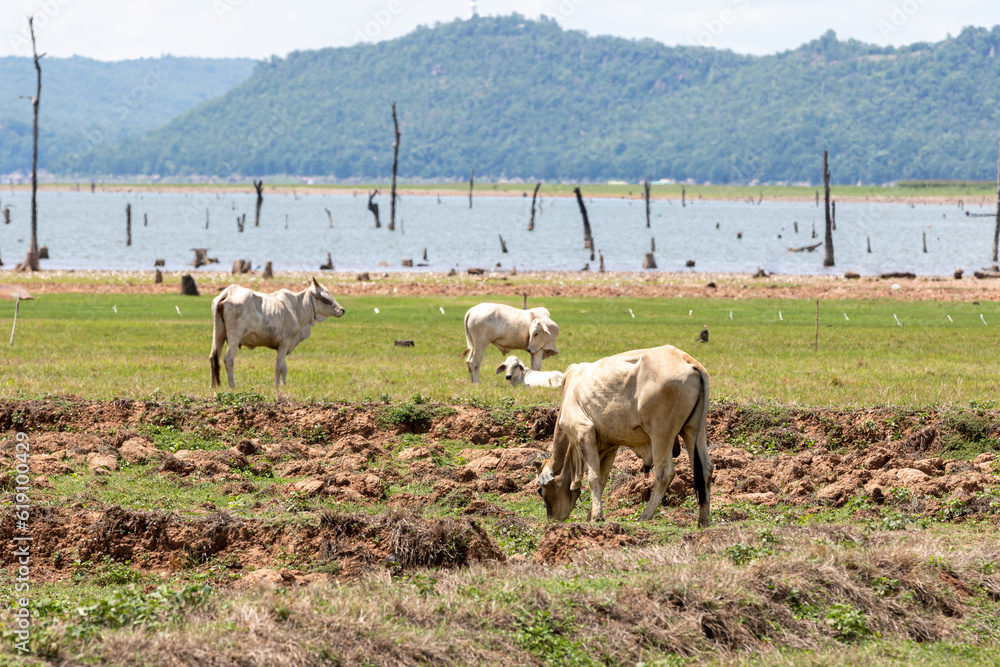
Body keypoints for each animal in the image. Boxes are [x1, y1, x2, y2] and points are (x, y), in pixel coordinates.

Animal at [210, 278, 345, 388]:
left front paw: (284, 385)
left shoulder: (282, 345)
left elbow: (284, 368)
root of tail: (228, 292)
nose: (342, 310)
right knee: (228, 359)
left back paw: (213, 386)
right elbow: (278, 366)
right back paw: (232, 385)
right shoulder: (285, 342)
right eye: (324, 298)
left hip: (218, 335)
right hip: (234, 338)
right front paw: (276, 385)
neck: (297, 307)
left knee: (213, 357)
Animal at [534, 345, 713, 527]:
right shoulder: (609, 445)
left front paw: (596, 516)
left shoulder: (584, 431)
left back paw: (645, 516)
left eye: (540, 490)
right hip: (693, 430)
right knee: (705, 469)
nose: (552, 519)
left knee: (665, 473)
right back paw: (703, 520)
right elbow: (602, 479)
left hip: (661, 433)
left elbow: (593, 477)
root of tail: (686, 360)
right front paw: (592, 515)